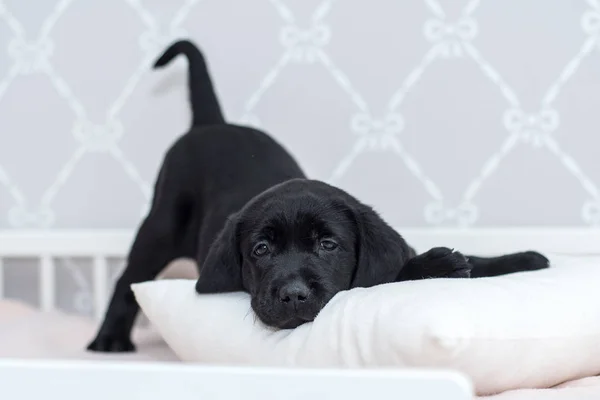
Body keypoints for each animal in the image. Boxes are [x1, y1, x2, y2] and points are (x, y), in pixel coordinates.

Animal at [86, 40, 552, 352]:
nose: (293, 294)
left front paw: (522, 259)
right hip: (161, 224)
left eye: (328, 244)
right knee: (127, 279)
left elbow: (468, 259)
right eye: (261, 250)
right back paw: (108, 340)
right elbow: (390, 274)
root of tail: (211, 123)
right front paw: (436, 265)